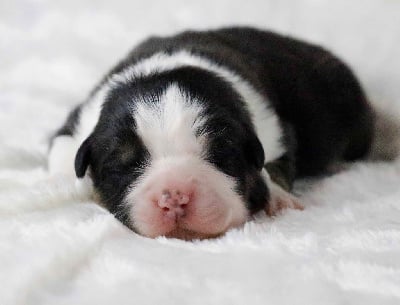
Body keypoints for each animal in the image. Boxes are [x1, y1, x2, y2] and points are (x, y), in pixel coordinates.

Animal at [47, 27, 376, 239]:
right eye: (123, 165)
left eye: (220, 154)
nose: (174, 197)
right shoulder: (76, 125)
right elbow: (64, 157)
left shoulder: (275, 132)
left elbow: (274, 167)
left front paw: (279, 197)